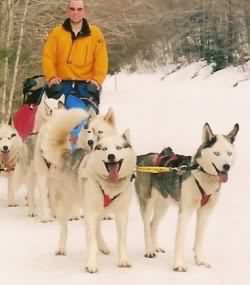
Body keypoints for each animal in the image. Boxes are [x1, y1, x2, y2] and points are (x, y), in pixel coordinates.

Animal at [81, 130, 137, 272]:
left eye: (118, 148)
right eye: (104, 149)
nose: (111, 156)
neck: (110, 185)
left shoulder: (122, 213)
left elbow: (122, 239)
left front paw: (123, 260)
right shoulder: (90, 212)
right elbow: (91, 240)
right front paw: (91, 264)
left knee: (97, 228)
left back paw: (103, 247)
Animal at [136, 122, 239, 270]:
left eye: (229, 153)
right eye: (216, 153)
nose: (226, 166)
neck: (202, 175)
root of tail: (143, 156)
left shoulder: (205, 213)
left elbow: (199, 238)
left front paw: (200, 260)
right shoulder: (185, 212)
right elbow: (180, 239)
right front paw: (179, 265)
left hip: (163, 205)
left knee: (152, 224)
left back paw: (155, 247)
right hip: (147, 202)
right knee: (145, 224)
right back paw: (149, 250)